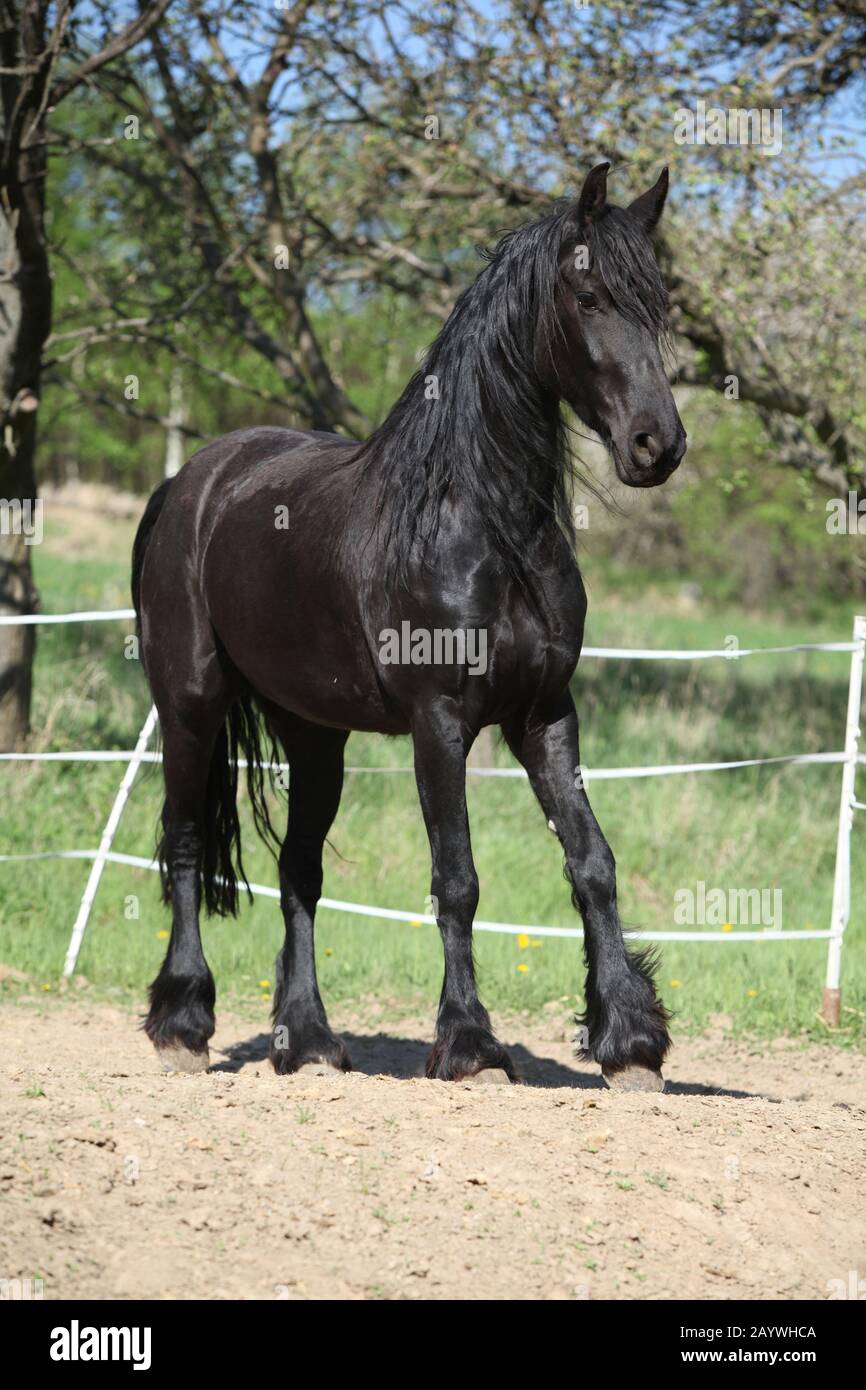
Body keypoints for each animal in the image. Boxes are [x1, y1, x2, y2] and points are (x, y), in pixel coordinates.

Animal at [131, 161, 686, 1091]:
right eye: (588, 294)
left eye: (661, 305)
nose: (658, 445)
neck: (482, 527)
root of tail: (189, 482)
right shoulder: (441, 723)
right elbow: (456, 879)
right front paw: (470, 1044)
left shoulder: (546, 716)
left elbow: (593, 864)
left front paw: (629, 1040)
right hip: (191, 706)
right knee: (182, 846)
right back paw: (182, 1025)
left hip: (315, 735)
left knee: (298, 873)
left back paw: (309, 1041)